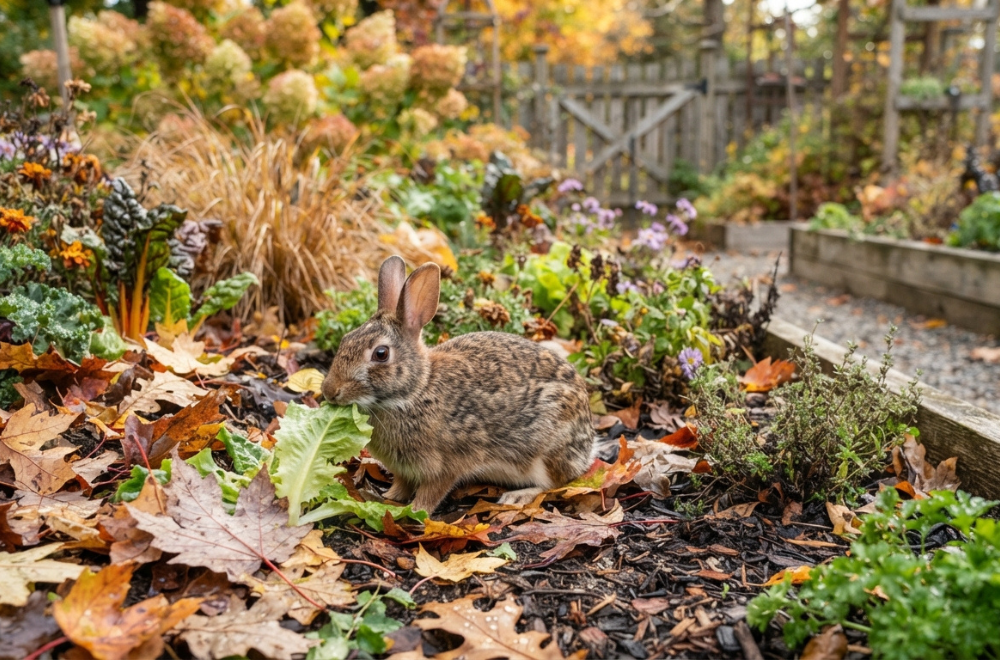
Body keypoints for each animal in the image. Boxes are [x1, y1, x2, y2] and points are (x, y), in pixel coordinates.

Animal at [321, 255, 595, 514]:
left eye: (381, 354)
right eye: (345, 339)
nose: (329, 391)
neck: (415, 391)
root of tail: (589, 442)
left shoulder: (448, 464)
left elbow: (433, 492)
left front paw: (415, 510)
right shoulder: (404, 469)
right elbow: (402, 483)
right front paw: (390, 497)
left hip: (546, 449)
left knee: (554, 483)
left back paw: (518, 496)